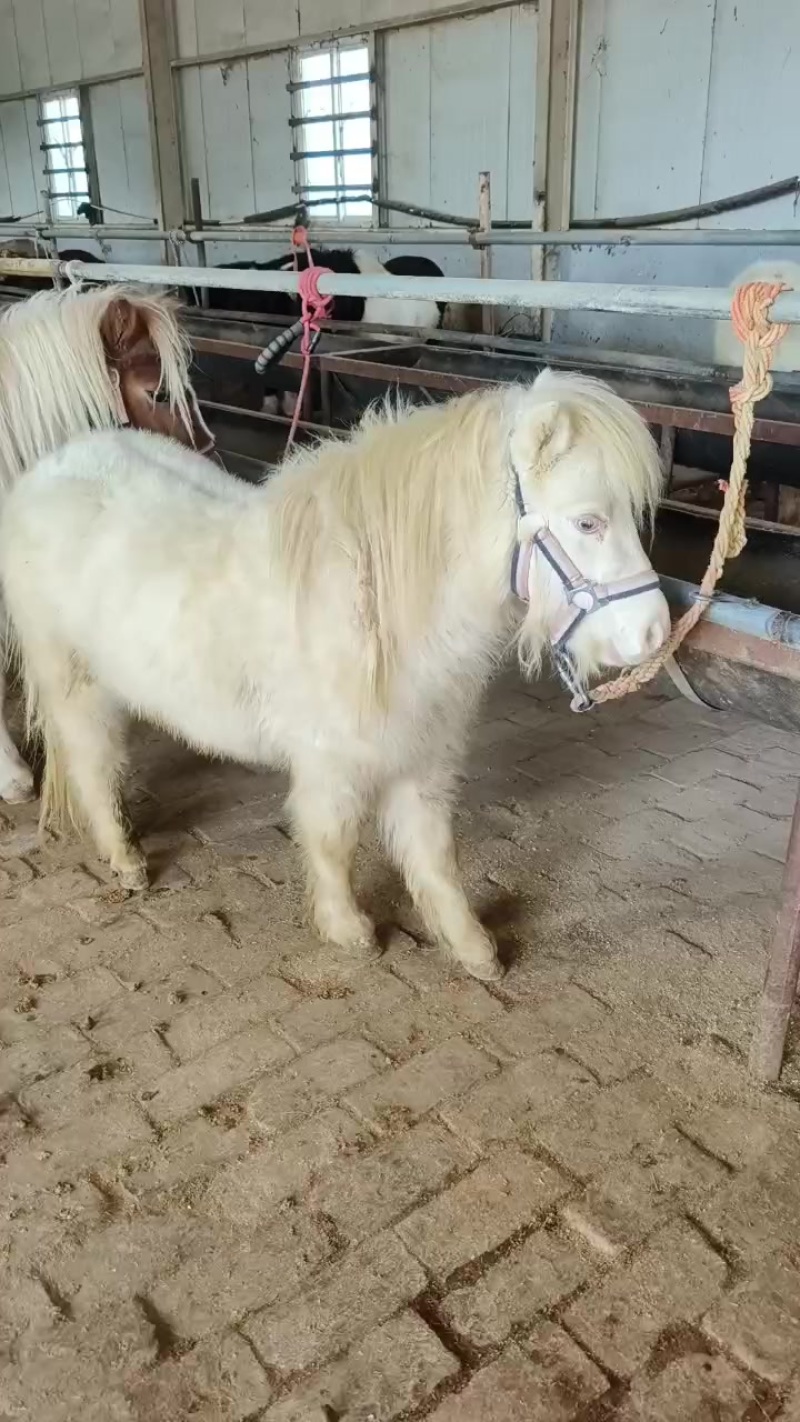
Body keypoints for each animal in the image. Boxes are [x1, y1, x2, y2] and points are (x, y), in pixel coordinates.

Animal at [0, 370, 669, 982]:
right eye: (587, 522)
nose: (654, 636)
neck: (376, 603)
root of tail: (47, 471)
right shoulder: (331, 763)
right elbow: (333, 841)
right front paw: (350, 931)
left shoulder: (425, 754)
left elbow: (434, 852)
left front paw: (473, 948)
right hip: (74, 681)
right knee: (94, 767)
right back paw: (126, 862)